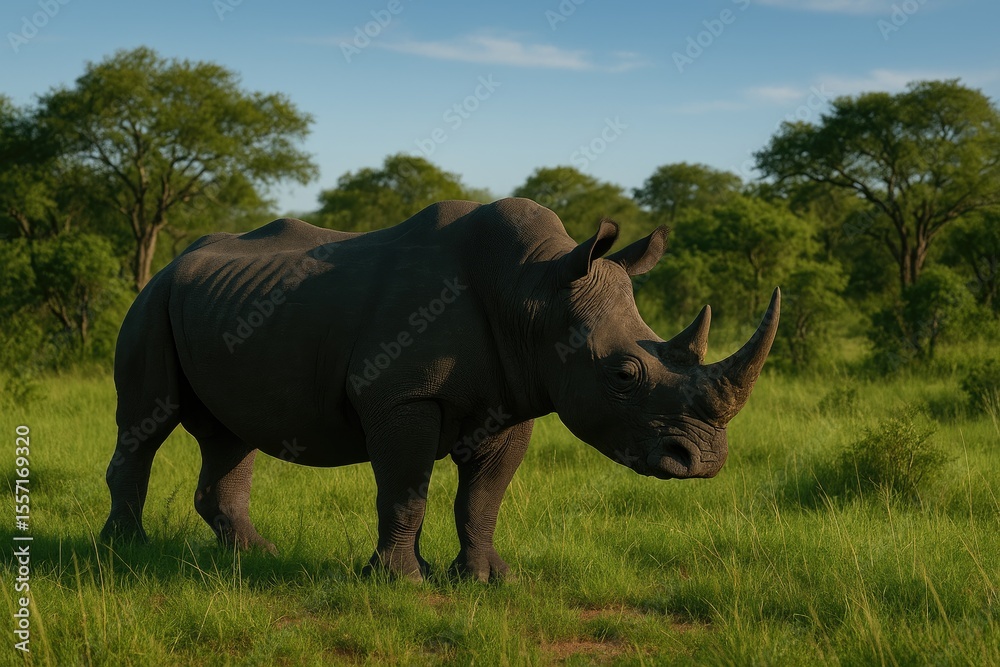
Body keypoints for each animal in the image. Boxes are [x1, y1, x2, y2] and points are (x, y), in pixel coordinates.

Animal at [101, 197, 779, 582]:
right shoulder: (401, 396)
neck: (534, 292)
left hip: (218, 304)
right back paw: (125, 554)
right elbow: (406, 490)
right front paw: (402, 582)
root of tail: (175, 261)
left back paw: (254, 557)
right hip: (153, 299)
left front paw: (488, 581)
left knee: (231, 433)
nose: (703, 461)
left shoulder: (514, 399)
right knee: (146, 420)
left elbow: (482, 498)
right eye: (623, 376)